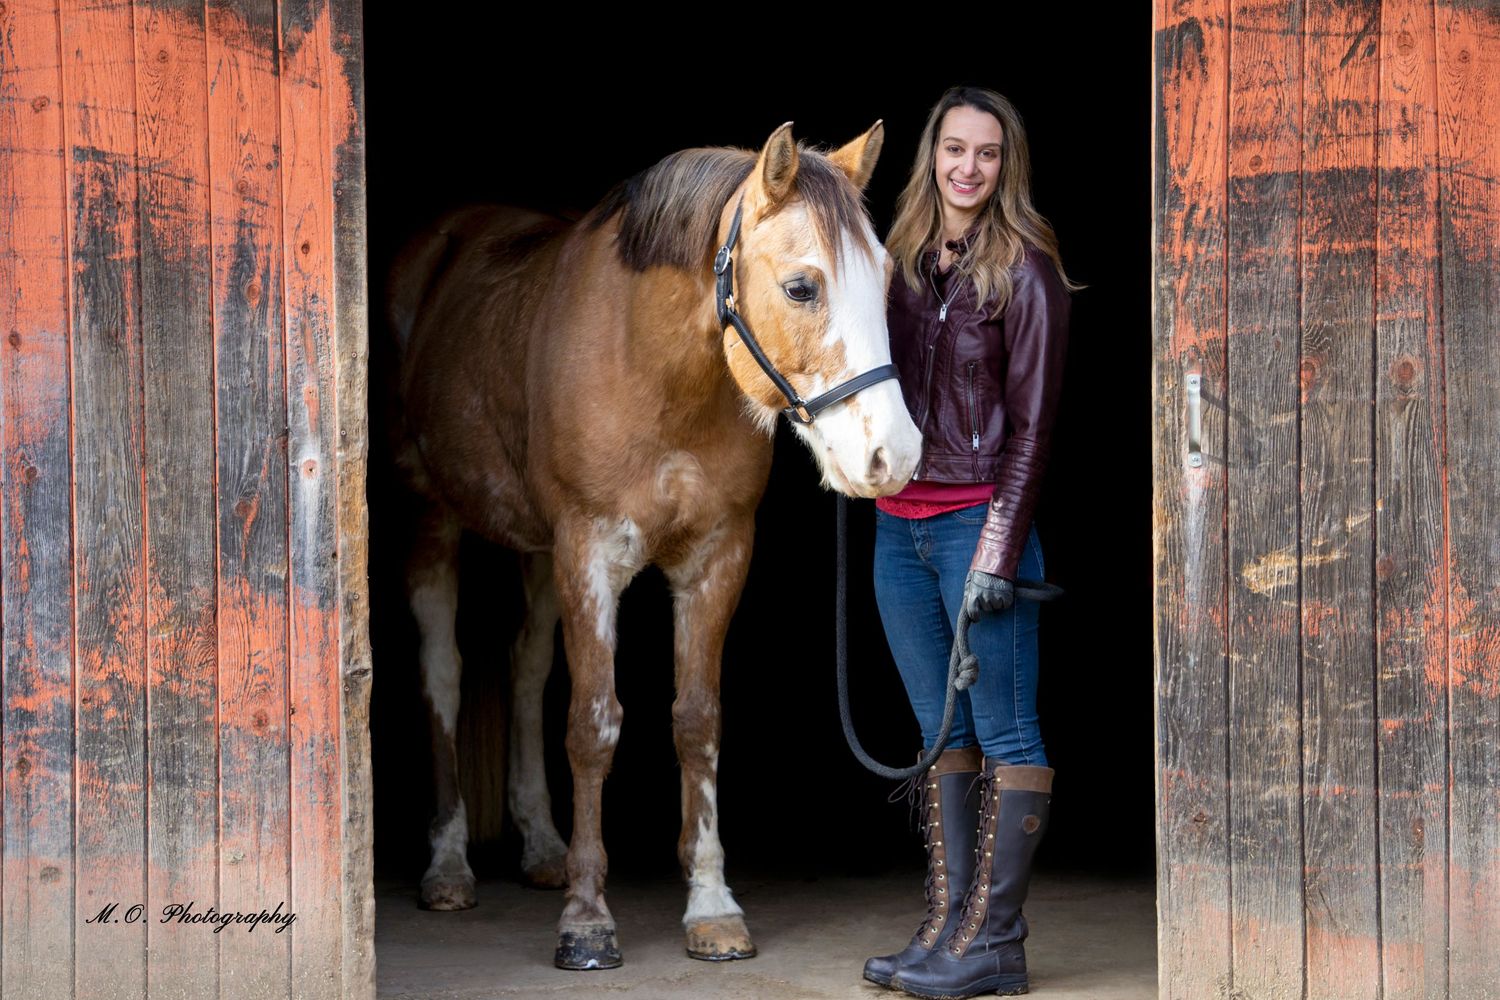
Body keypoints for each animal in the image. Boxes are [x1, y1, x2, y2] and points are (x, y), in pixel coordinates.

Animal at [384, 121, 922, 970]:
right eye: (802, 288)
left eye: (886, 280)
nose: (892, 457)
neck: (658, 372)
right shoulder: (590, 556)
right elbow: (594, 726)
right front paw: (586, 921)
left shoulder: (716, 558)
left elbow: (696, 721)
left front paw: (712, 907)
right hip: (432, 518)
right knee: (443, 673)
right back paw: (447, 867)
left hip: (538, 554)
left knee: (526, 670)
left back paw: (542, 847)